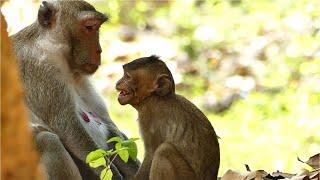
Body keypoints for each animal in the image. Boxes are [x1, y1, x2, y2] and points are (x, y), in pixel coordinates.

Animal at [11, 0, 139, 179]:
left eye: (97, 27)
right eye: (89, 27)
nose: (99, 51)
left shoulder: (81, 78)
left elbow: (110, 129)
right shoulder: (39, 69)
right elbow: (67, 126)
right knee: (47, 140)